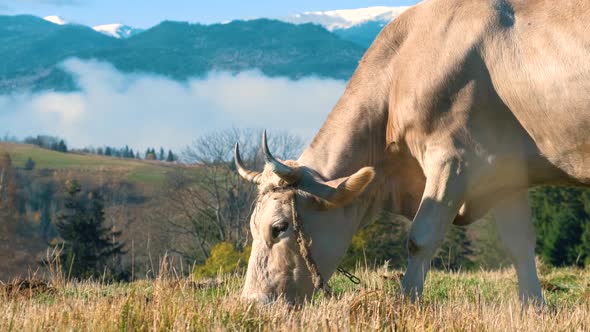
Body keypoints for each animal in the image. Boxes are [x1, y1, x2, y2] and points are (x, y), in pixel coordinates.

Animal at [235, 0, 590, 306]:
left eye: (279, 227)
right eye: (251, 226)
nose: (254, 302)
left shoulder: (453, 159)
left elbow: (421, 238)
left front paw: (406, 302)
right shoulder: (505, 173)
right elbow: (519, 244)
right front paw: (534, 309)